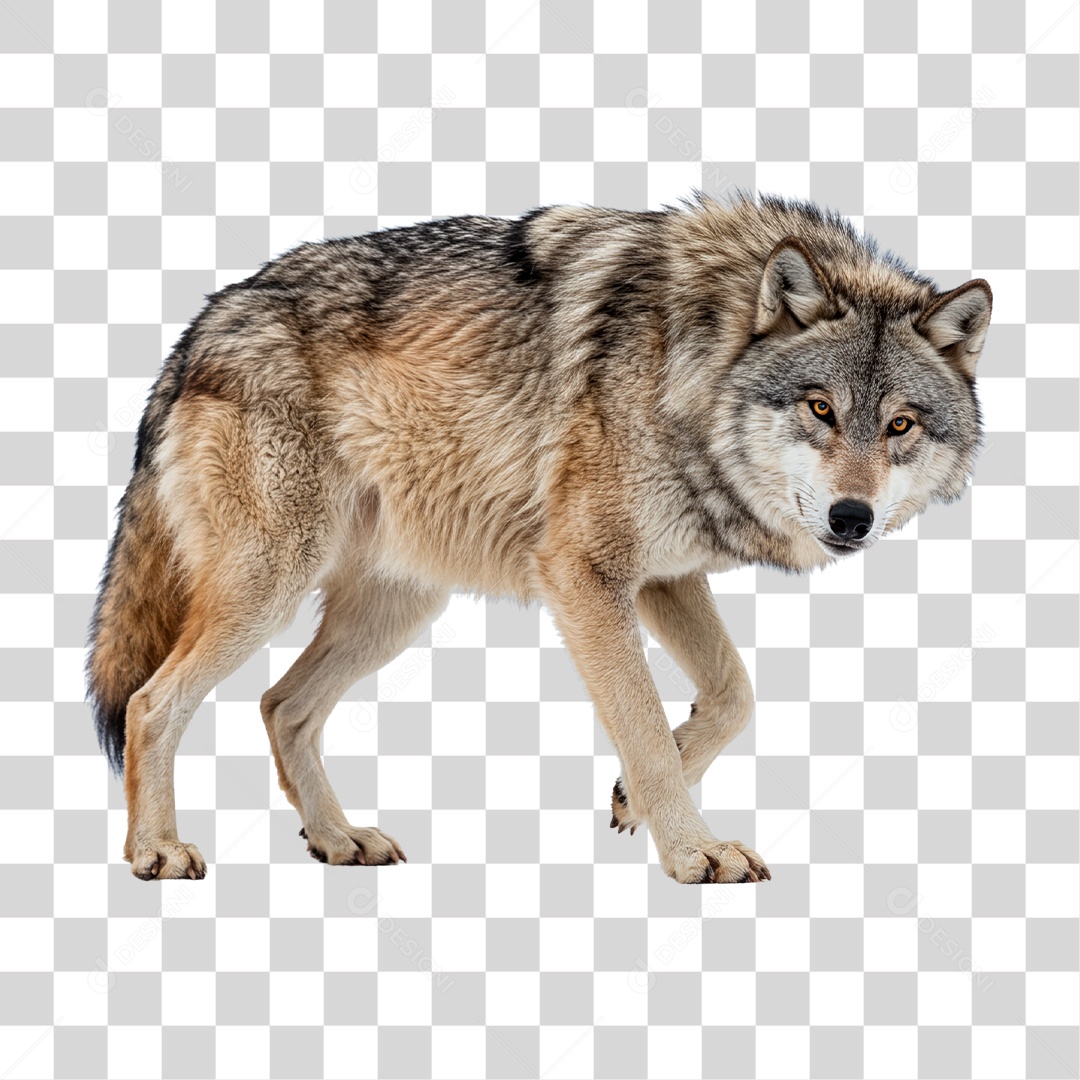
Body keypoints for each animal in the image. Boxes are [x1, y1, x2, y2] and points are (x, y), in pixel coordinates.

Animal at [87, 193, 991, 883]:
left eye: (901, 425)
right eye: (821, 409)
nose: (851, 518)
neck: (693, 358)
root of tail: (199, 327)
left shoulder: (663, 577)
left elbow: (734, 694)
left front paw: (635, 800)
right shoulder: (586, 575)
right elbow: (643, 724)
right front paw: (694, 854)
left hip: (395, 613)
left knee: (281, 705)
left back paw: (336, 838)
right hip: (271, 586)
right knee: (150, 703)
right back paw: (156, 851)